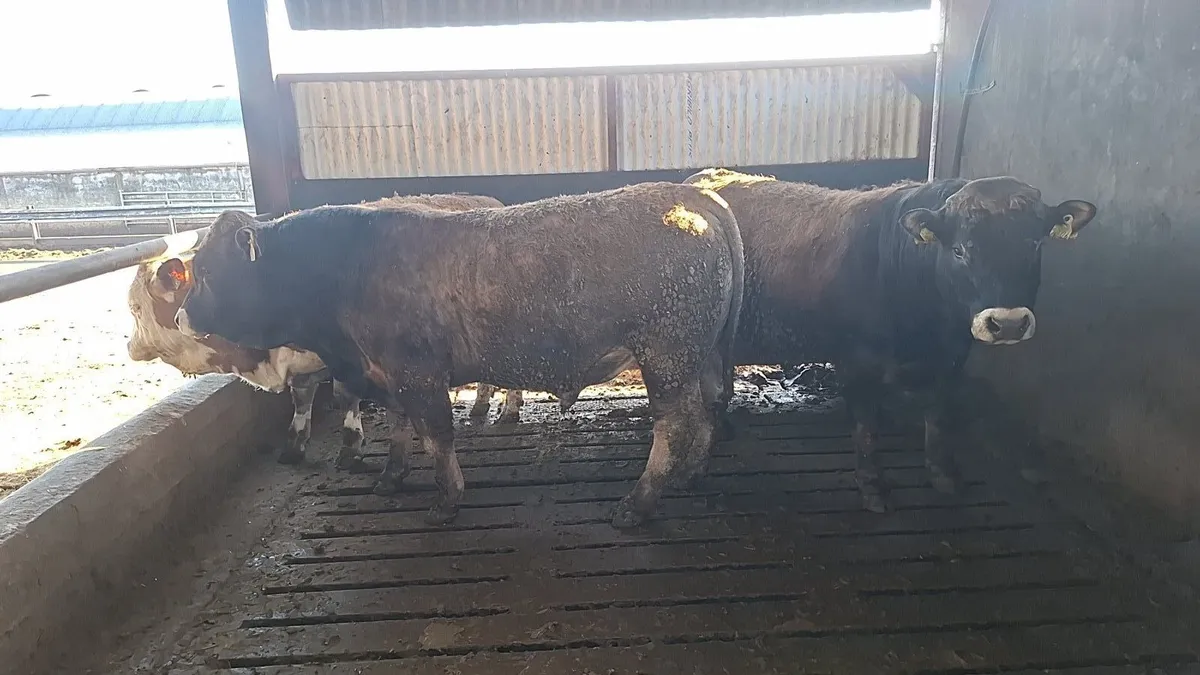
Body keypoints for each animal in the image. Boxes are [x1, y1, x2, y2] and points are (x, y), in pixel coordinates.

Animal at [126, 193, 525, 473]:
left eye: (135, 308)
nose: (130, 347)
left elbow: (345, 395)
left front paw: (351, 448)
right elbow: (301, 400)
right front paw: (293, 445)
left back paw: (504, 408)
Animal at [174, 182, 744, 528]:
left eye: (206, 272)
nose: (180, 318)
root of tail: (691, 196)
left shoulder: (417, 371)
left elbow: (436, 435)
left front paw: (446, 498)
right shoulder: (387, 374)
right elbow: (400, 428)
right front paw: (390, 477)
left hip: (666, 352)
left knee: (673, 426)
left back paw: (639, 502)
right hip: (701, 354)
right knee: (708, 409)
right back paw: (689, 475)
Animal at [684, 168, 1096, 513]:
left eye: (1034, 245)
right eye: (960, 250)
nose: (1008, 323)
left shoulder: (952, 359)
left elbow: (939, 415)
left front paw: (943, 473)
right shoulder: (857, 361)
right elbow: (867, 427)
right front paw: (873, 486)